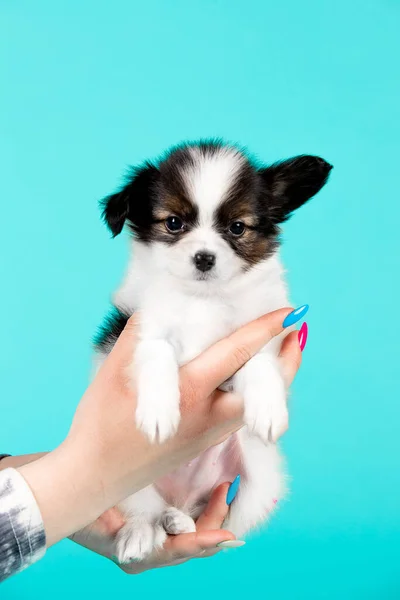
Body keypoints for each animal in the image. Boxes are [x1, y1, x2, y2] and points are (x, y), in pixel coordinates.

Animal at [94, 141, 332, 564]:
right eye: (174, 223)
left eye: (237, 227)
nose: (204, 257)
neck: (202, 298)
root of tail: (181, 495)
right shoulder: (135, 328)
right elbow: (156, 350)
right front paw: (159, 411)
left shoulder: (256, 333)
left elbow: (257, 361)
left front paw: (267, 407)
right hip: (122, 477)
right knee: (145, 510)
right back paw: (142, 532)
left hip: (258, 480)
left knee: (212, 517)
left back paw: (180, 523)